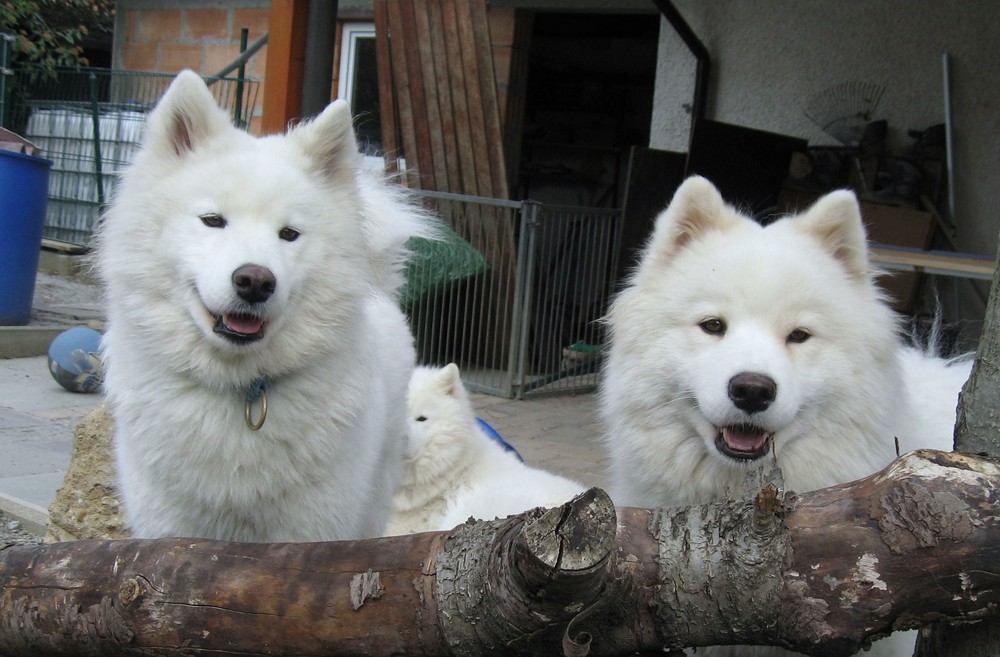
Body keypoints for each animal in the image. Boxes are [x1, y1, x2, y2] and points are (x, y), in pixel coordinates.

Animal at [97, 70, 434, 544]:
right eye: (213, 220)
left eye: (289, 234)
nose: (255, 281)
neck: (242, 391)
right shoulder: (168, 529)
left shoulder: (311, 533)